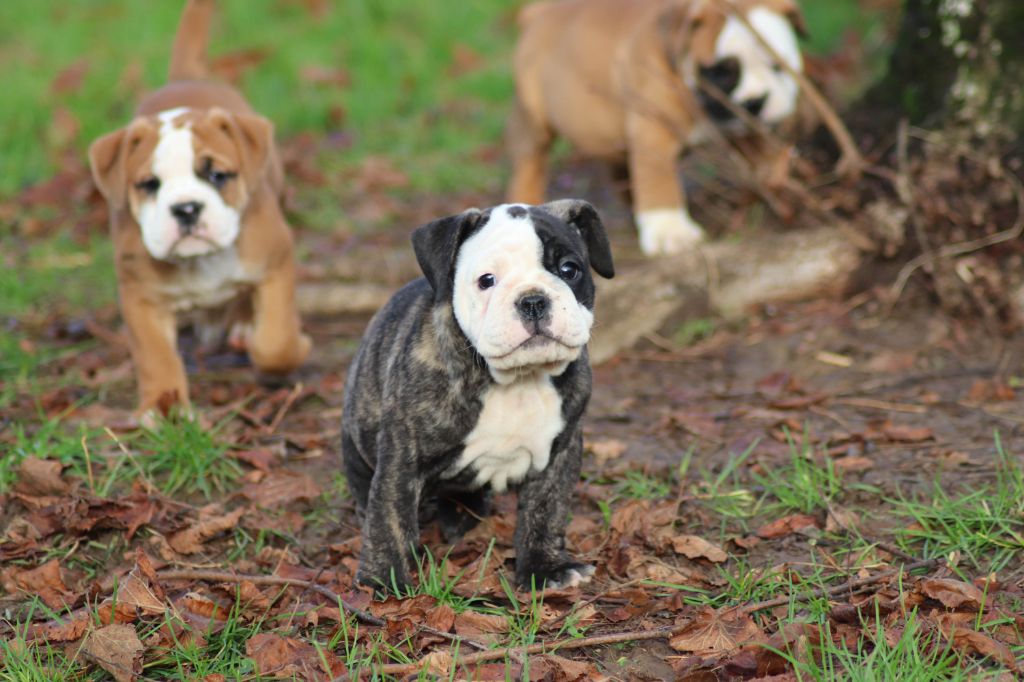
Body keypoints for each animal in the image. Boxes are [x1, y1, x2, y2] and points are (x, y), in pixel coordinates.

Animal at [88, 0, 311, 424]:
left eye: (216, 174)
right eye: (149, 184)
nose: (187, 208)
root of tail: (185, 78)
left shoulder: (276, 260)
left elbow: (275, 340)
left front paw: (293, 347)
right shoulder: (141, 297)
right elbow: (156, 357)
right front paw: (164, 407)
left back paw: (241, 321)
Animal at [342, 200, 615, 591]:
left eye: (569, 269)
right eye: (487, 280)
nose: (533, 300)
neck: (517, 379)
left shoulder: (560, 452)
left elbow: (546, 510)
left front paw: (545, 568)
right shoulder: (401, 456)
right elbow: (389, 515)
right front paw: (383, 580)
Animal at [507, 0, 807, 255]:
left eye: (779, 66)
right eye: (721, 73)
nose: (755, 102)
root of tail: (537, 11)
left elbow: (762, 155)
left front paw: (780, 183)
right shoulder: (654, 133)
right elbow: (659, 179)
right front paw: (670, 231)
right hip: (532, 120)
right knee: (531, 164)